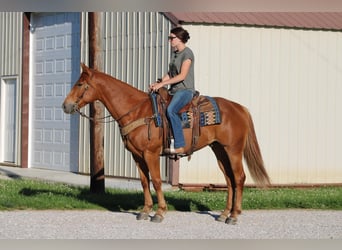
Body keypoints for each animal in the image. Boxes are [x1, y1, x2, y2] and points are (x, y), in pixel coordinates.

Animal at [61, 63, 270, 224]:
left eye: (80, 84)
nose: (65, 105)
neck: (136, 111)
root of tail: (240, 108)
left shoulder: (151, 154)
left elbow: (156, 181)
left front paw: (159, 212)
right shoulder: (137, 155)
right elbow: (144, 182)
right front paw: (145, 211)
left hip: (233, 150)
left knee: (239, 178)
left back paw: (234, 216)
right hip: (219, 150)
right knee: (229, 179)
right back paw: (225, 214)